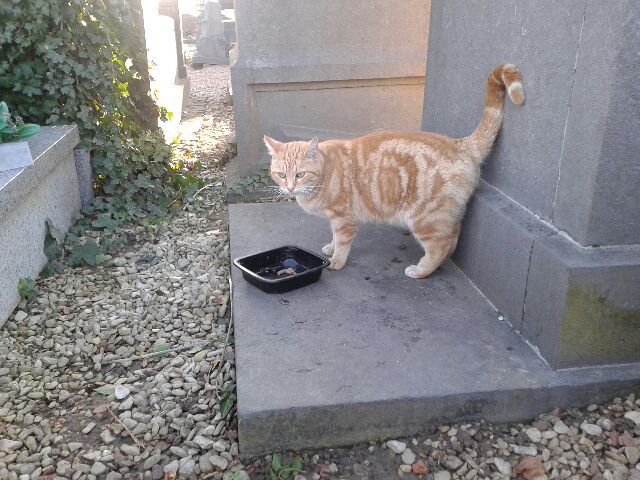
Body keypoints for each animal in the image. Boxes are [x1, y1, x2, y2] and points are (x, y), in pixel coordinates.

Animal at [262, 65, 524, 280]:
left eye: (300, 174)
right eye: (281, 175)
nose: (289, 188)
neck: (324, 173)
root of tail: (458, 144)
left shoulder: (344, 219)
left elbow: (342, 242)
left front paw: (336, 260)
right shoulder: (335, 218)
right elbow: (334, 237)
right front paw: (330, 246)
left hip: (426, 218)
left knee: (441, 244)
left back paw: (421, 270)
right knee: (453, 238)